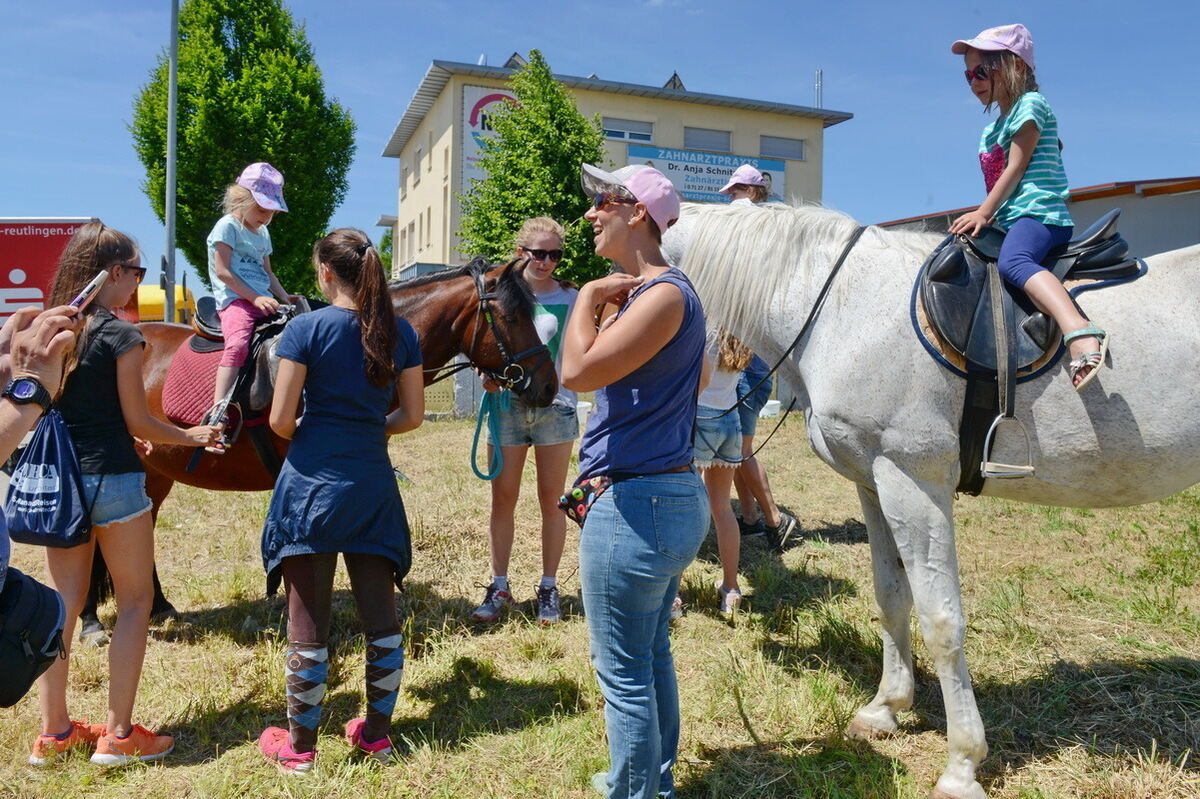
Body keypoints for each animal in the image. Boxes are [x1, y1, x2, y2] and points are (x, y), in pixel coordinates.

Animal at [662, 200, 1200, 796]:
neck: (841, 306)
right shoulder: (873, 481)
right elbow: (890, 595)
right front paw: (885, 709)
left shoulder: (913, 480)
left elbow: (942, 619)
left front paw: (963, 763)